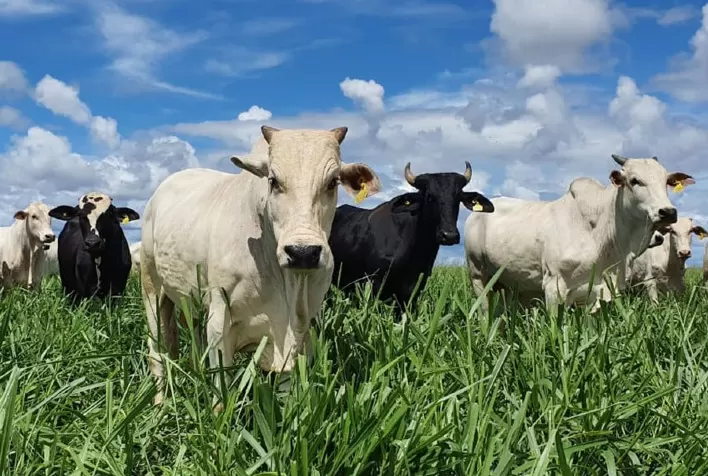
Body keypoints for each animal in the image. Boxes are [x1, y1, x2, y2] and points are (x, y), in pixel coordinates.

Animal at [140, 125, 381, 408]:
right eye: (273, 180)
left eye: (333, 182)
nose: (302, 253)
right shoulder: (219, 315)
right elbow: (221, 386)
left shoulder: (298, 328)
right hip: (151, 287)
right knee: (157, 350)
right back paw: (160, 403)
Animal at [464, 154, 695, 314]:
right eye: (634, 180)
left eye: (666, 181)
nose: (668, 212)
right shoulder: (553, 286)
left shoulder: (598, 292)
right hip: (478, 275)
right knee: (483, 310)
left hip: (512, 284)